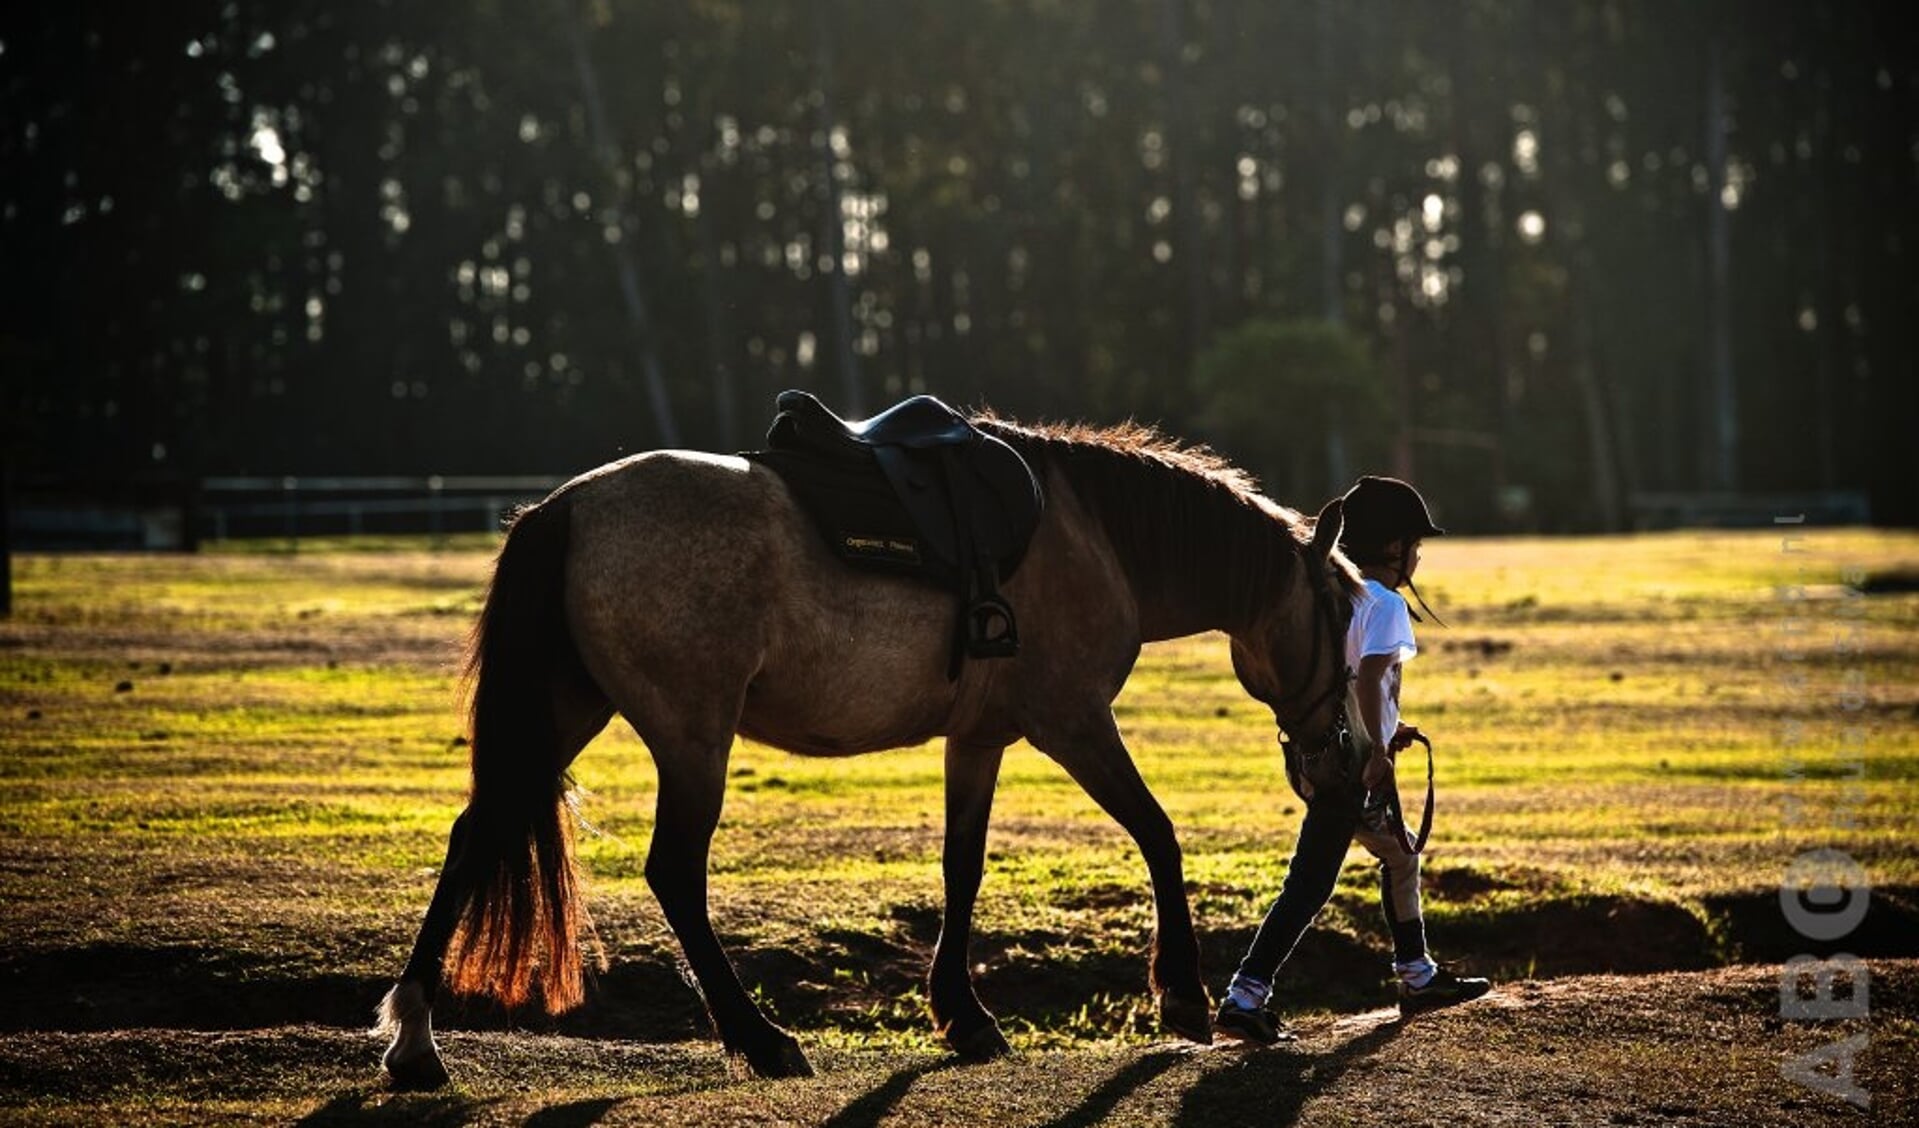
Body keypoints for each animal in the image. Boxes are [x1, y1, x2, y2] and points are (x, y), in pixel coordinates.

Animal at [378, 412, 1366, 1081]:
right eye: (1346, 609)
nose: (1342, 752)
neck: (1097, 536)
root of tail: (566, 507)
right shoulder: (1073, 721)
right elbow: (1158, 834)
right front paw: (1184, 994)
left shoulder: (979, 737)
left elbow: (961, 866)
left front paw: (964, 1015)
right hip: (690, 735)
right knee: (674, 871)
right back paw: (759, 1037)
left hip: (565, 713)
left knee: (477, 838)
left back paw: (416, 1038)